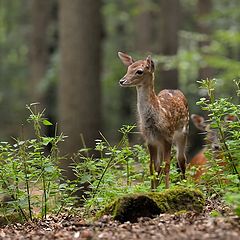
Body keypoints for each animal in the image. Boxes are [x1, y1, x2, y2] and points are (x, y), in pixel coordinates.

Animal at [117, 52, 188, 189]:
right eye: (128, 68)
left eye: (139, 71)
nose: (122, 81)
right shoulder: (149, 139)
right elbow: (152, 166)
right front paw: (153, 189)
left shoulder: (168, 136)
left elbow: (167, 164)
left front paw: (167, 189)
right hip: (160, 142)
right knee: (160, 163)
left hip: (184, 132)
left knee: (181, 159)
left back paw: (185, 184)